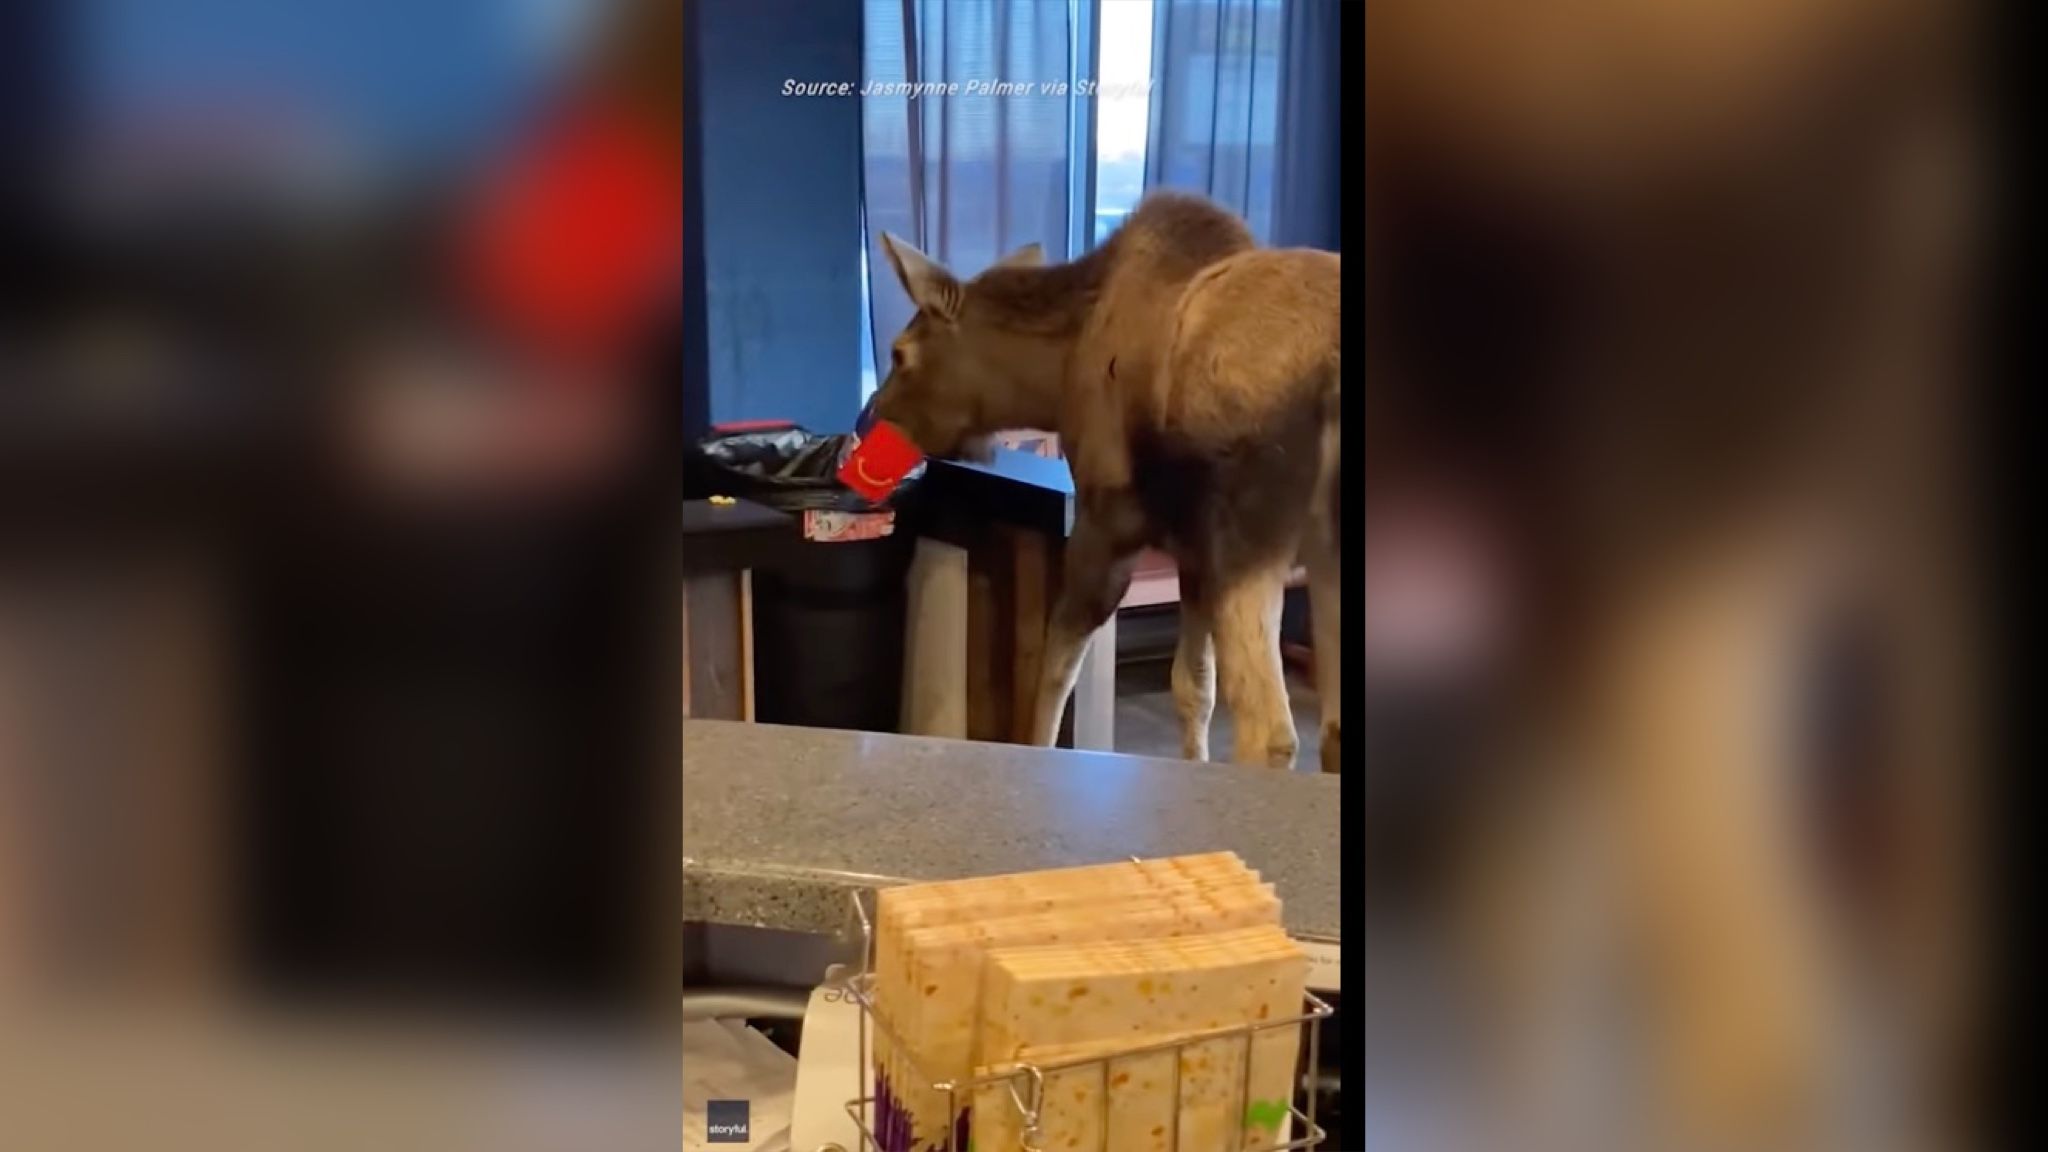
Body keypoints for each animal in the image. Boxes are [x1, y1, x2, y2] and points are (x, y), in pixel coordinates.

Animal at [869, 191, 1343, 773]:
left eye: (900, 353)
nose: (870, 417)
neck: (1054, 377)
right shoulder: (1192, 548)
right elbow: (1193, 687)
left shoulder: (1107, 521)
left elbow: (1054, 669)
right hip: (1320, 553)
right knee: (1331, 728)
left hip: (1251, 542)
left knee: (1272, 732)